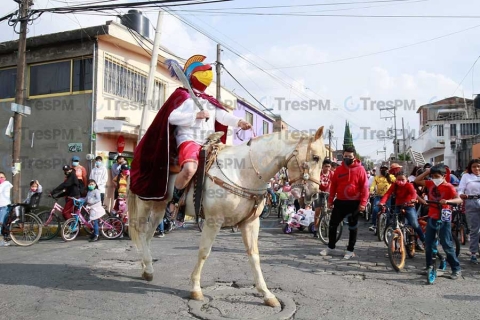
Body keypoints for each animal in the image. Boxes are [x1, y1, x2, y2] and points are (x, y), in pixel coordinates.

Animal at [126, 127, 326, 308]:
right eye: (315, 157)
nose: (315, 194)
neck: (242, 173)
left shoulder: (250, 223)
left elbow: (254, 255)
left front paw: (267, 294)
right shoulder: (213, 222)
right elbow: (204, 252)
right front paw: (196, 289)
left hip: (159, 207)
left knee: (148, 236)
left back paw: (146, 268)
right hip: (145, 204)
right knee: (141, 233)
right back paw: (148, 267)